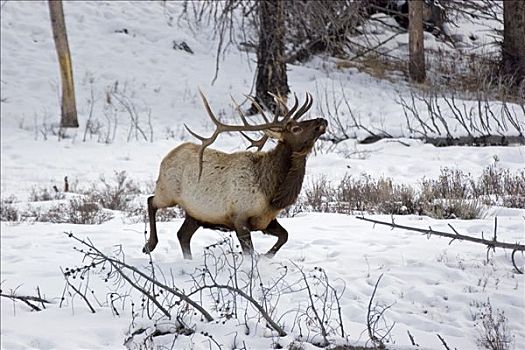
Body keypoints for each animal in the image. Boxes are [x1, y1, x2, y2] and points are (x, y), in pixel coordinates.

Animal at [142, 91, 324, 260]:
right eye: (296, 128)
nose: (322, 121)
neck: (271, 196)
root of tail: (169, 155)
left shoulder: (266, 221)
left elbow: (285, 236)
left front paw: (265, 256)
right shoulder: (239, 218)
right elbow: (249, 253)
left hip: (196, 213)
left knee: (182, 235)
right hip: (167, 191)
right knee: (151, 201)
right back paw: (149, 245)